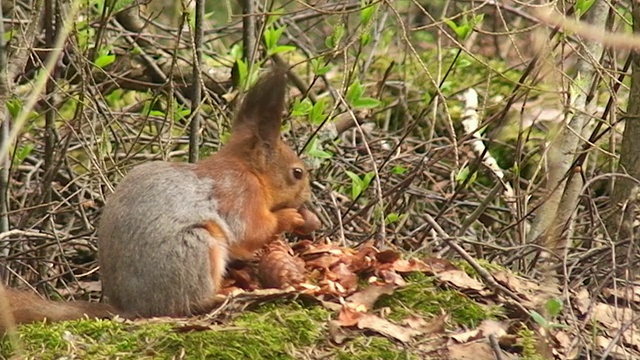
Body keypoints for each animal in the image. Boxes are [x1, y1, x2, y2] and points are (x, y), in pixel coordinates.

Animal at [0, 68, 320, 332]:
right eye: (297, 173)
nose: (307, 197)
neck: (249, 171)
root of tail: (131, 308)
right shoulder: (240, 194)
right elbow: (251, 231)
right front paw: (291, 218)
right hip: (196, 248)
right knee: (187, 304)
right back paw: (225, 294)